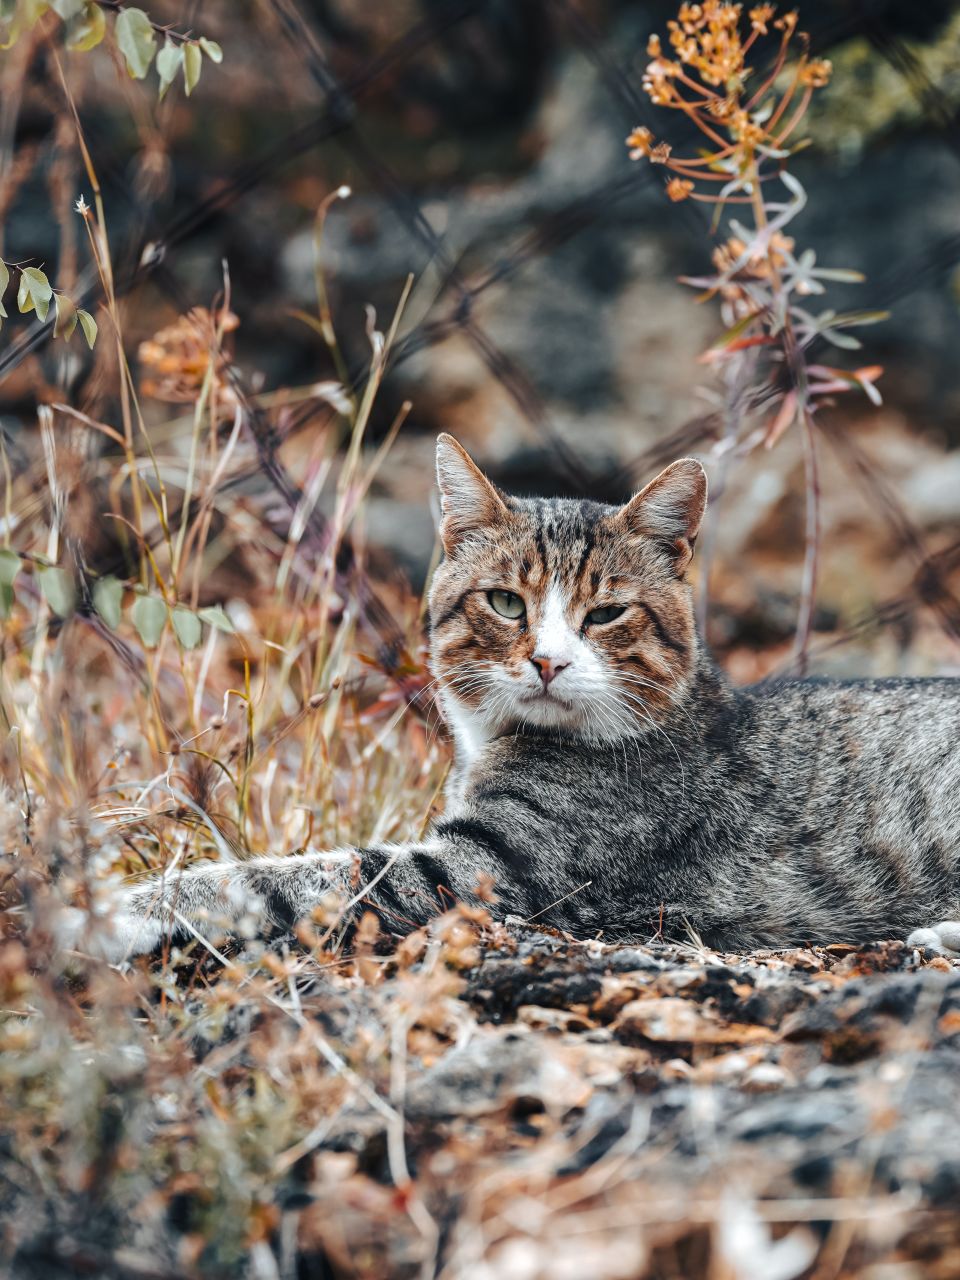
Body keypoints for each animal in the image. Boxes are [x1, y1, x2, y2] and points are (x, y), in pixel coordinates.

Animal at [71, 430, 960, 962]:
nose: (548, 661)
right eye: (505, 603)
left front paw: (109, 909)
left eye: (605, 614)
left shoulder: (480, 868)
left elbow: (278, 876)